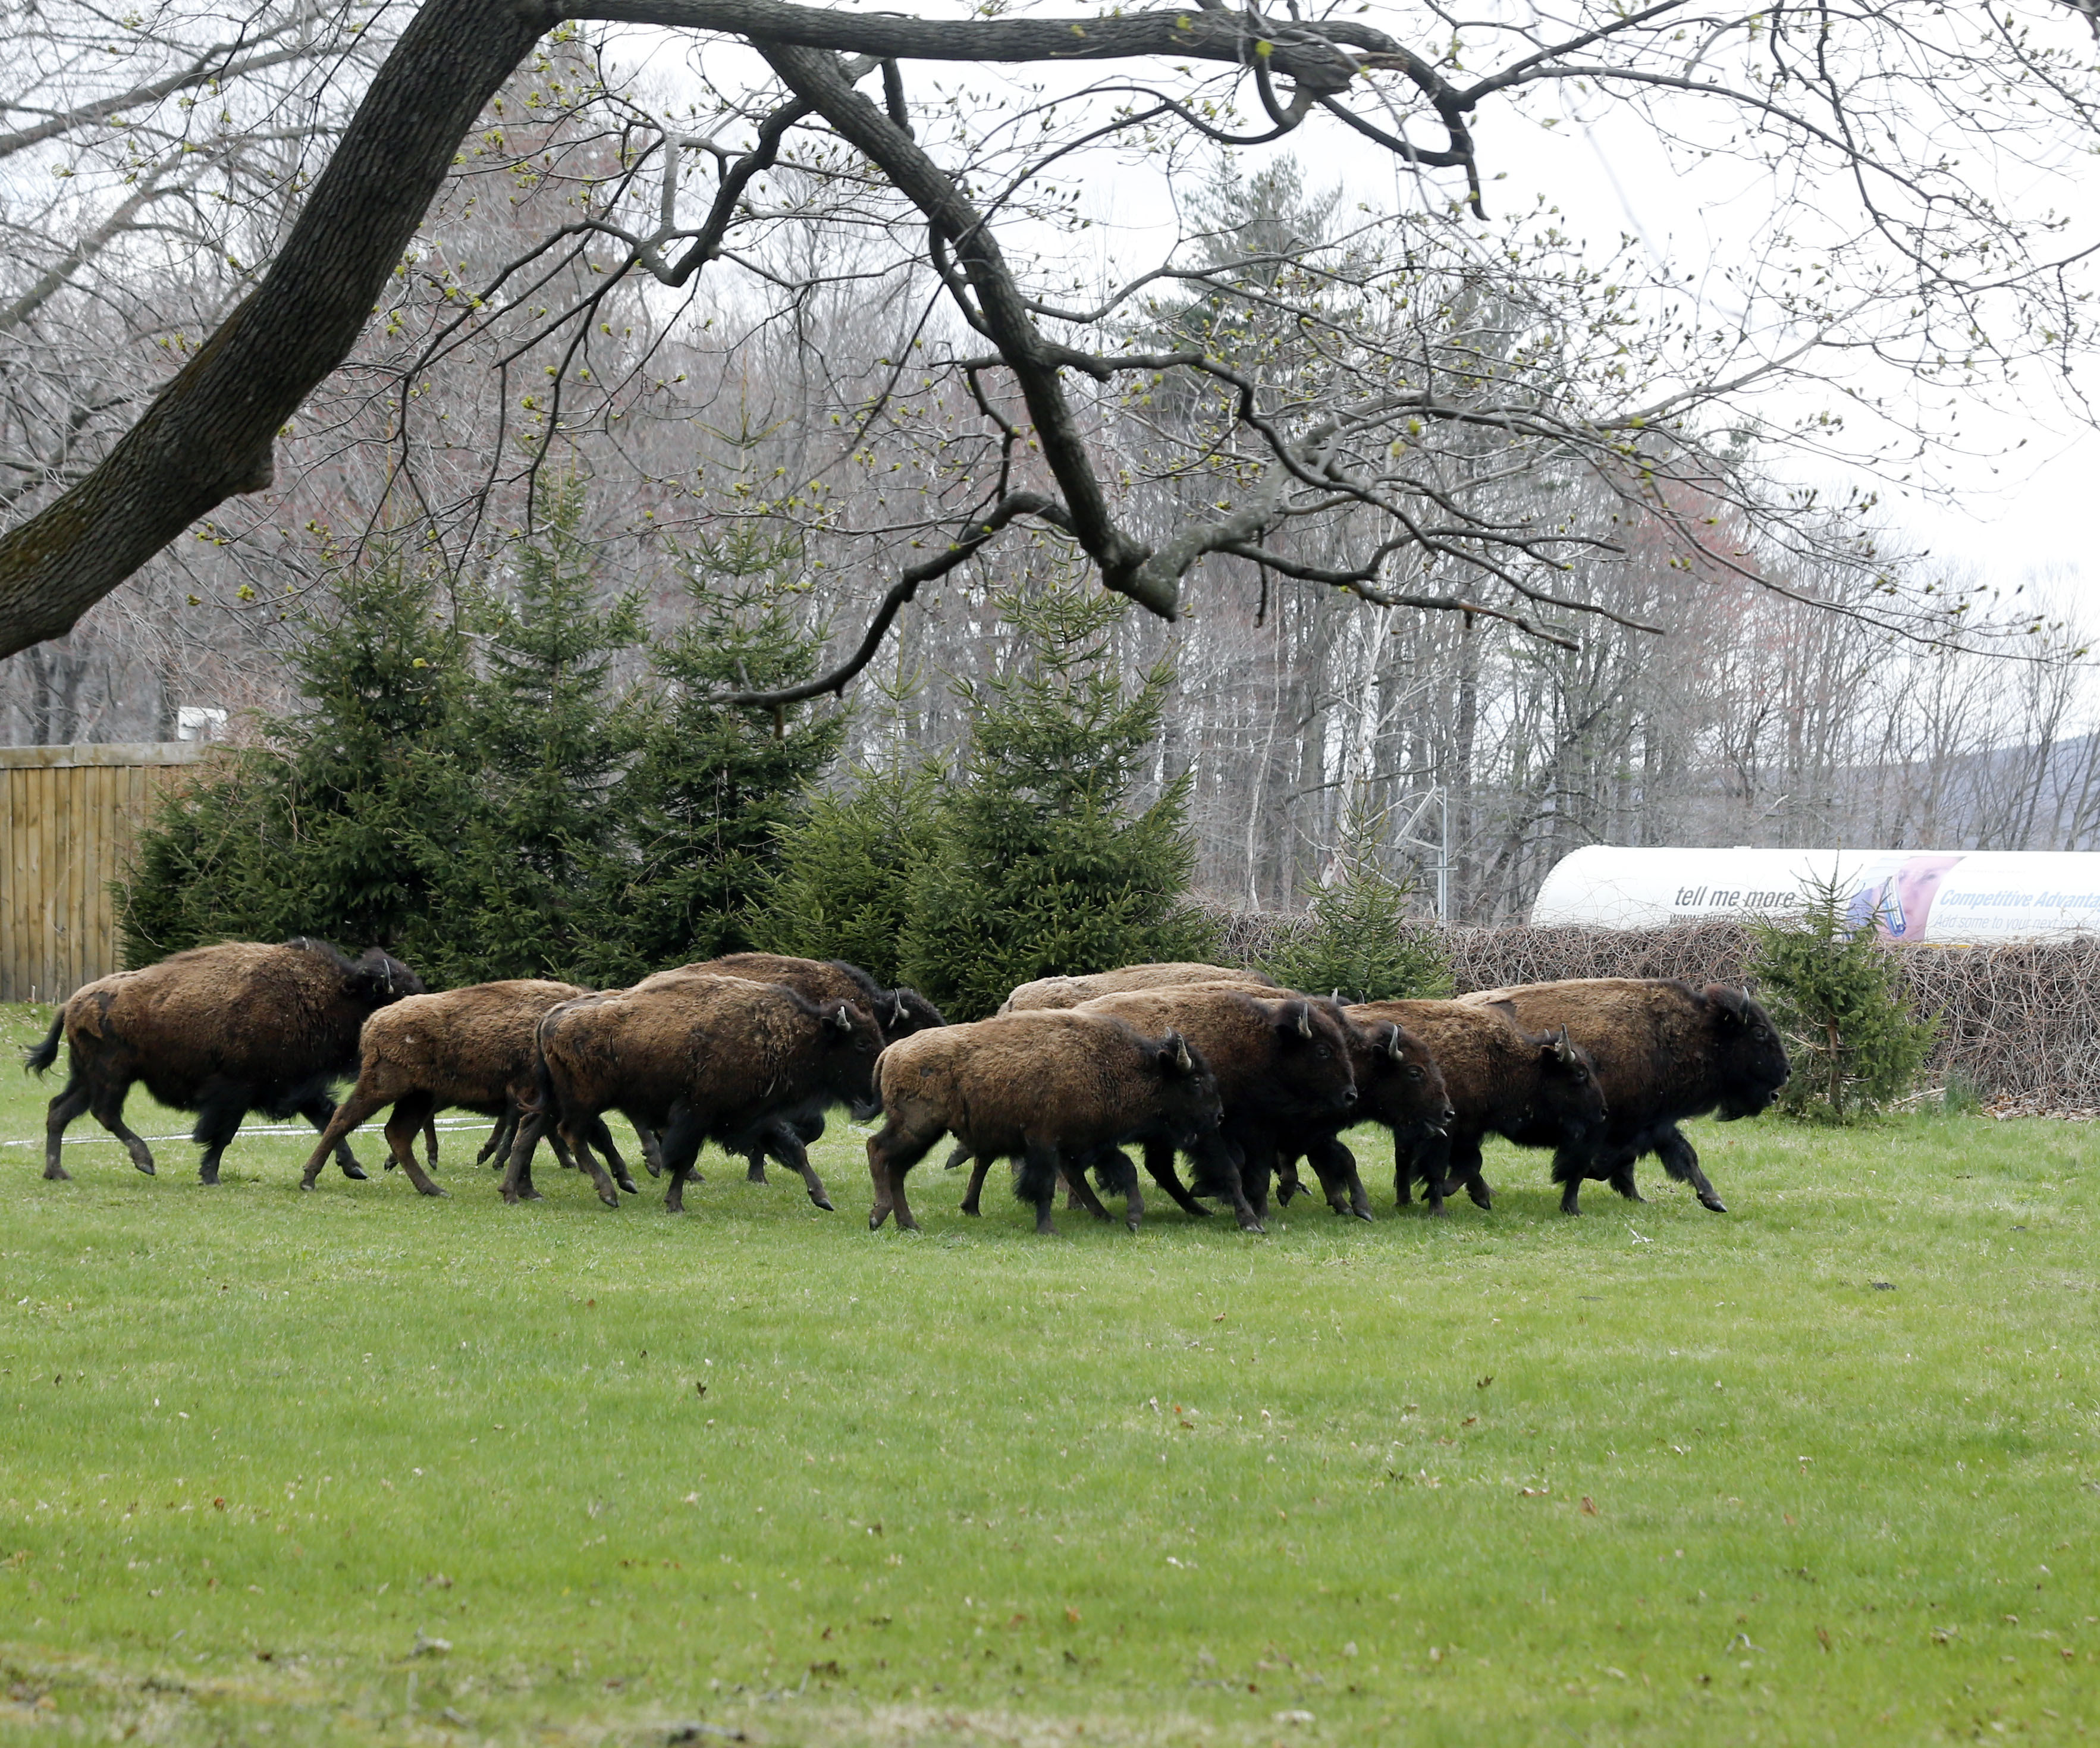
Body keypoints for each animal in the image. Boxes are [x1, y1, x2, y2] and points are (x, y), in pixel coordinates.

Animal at [24, 941, 424, 1185]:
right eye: (398, 996)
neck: (329, 995)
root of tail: (74, 1001)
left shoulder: (297, 1086)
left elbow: (328, 1120)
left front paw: (354, 1168)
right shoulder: (236, 1091)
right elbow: (222, 1134)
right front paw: (210, 1176)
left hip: (86, 1077)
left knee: (60, 1111)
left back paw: (57, 1171)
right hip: (113, 1076)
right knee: (104, 1113)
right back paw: (145, 1161)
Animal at [520, 975, 890, 1210]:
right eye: (861, 1044)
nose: (876, 1091)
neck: (788, 1034)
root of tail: (551, 1018)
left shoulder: (756, 1114)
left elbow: (796, 1150)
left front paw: (822, 1198)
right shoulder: (698, 1114)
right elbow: (684, 1158)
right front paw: (675, 1203)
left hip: (563, 1101)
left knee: (545, 1132)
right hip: (584, 1101)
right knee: (573, 1134)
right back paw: (609, 1192)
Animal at [861, 1004, 1226, 1235]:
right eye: (1195, 1081)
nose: (1218, 1115)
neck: (1111, 1066)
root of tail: (892, 1052)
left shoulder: (1092, 1142)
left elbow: (1124, 1171)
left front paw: (1126, 1218)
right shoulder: (1046, 1143)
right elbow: (1046, 1186)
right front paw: (1049, 1229)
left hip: (923, 1133)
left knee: (896, 1168)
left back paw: (909, 1224)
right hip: (917, 1126)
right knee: (878, 1150)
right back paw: (879, 1216)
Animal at [1352, 996, 1596, 1218]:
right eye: (1580, 1073)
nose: (1600, 1112)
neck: (1496, 1060)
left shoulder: (1467, 1130)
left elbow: (1472, 1163)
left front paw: (1480, 1198)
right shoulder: (1444, 1131)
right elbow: (1439, 1169)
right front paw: (1438, 1209)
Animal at [1461, 983, 1789, 1218]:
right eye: (1759, 1033)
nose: (1786, 1072)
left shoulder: (1653, 1123)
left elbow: (1682, 1156)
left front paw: (1710, 1200)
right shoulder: (1602, 1127)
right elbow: (1586, 1166)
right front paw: (1576, 1203)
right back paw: (1486, 1195)